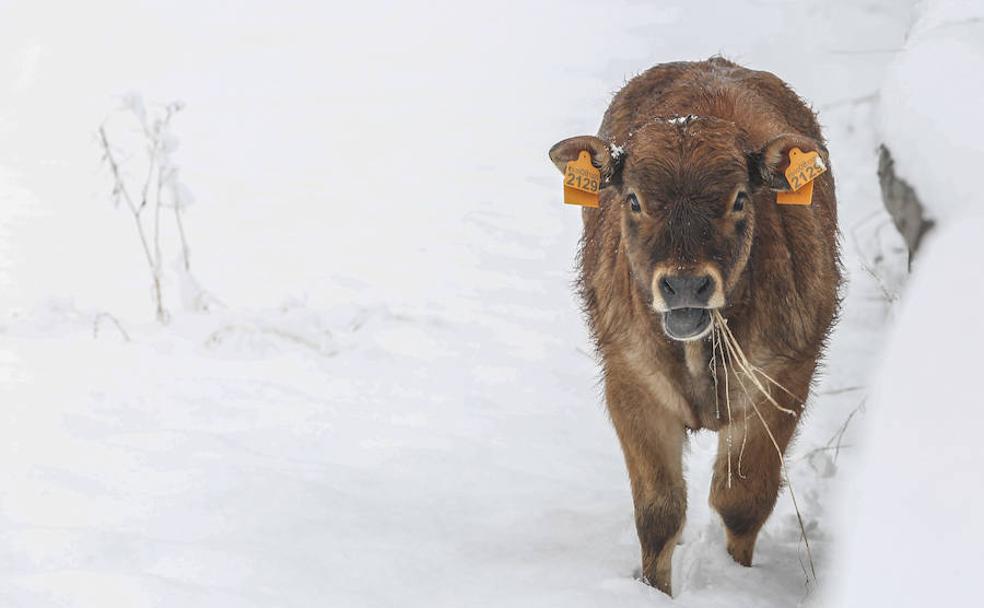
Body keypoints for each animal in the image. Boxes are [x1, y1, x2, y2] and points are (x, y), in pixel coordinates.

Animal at [544, 59, 836, 596]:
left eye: (739, 199)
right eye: (634, 200)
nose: (685, 285)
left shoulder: (781, 382)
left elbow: (742, 500)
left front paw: (737, 579)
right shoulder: (631, 382)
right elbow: (659, 512)